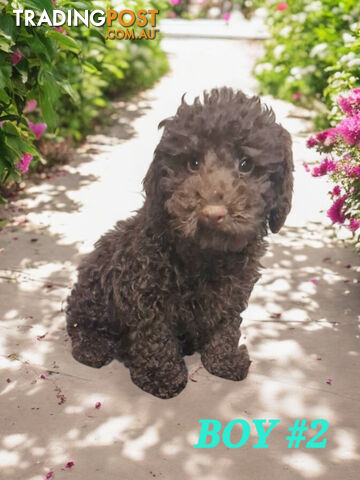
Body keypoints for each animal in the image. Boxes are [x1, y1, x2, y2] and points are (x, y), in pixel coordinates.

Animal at [67, 88, 292, 400]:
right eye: (192, 163)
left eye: (246, 165)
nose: (212, 213)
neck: (207, 254)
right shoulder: (146, 295)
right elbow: (155, 337)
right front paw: (162, 377)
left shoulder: (233, 294)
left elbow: (226, 328)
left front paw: (223, 361)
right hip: (96, 287)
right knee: (79, 321)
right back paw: (93, 346)